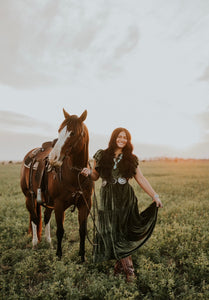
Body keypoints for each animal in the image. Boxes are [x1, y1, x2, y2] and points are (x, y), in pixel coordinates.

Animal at [20, 109, 92, 262]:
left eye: (73, 133)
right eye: (59, 130)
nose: (53, 158)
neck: (76, 174)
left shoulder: (85, 204)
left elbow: (82, 231)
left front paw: (82, 257)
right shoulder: (59, 204)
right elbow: (60, 230)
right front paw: (59, 256)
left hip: (48, 201)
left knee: (46, 218)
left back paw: (48, 242)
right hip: (29, 197)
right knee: (34, 218)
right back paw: (35, 243)